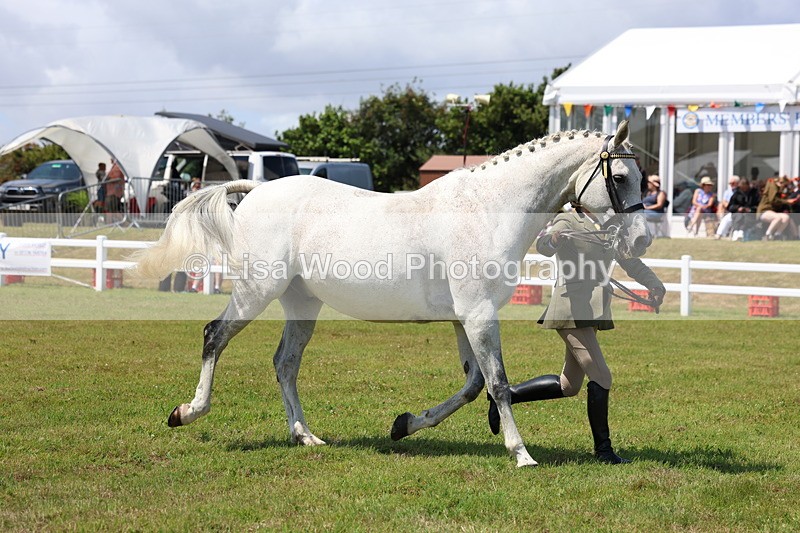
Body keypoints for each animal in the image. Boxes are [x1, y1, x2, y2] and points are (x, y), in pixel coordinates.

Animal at [134, 120, 650, 468]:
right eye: (621, 177)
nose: (642, 239)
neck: (488, 210)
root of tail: (255, 191)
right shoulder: (479, 314)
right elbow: (498, 383)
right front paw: (521, 453)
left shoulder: (464, 318)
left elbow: (473, 385)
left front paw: (405, 424)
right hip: (255, 291)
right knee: (214, 336)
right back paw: (187, 412)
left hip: (302, 303)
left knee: (285, 363)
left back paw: (306, 437)